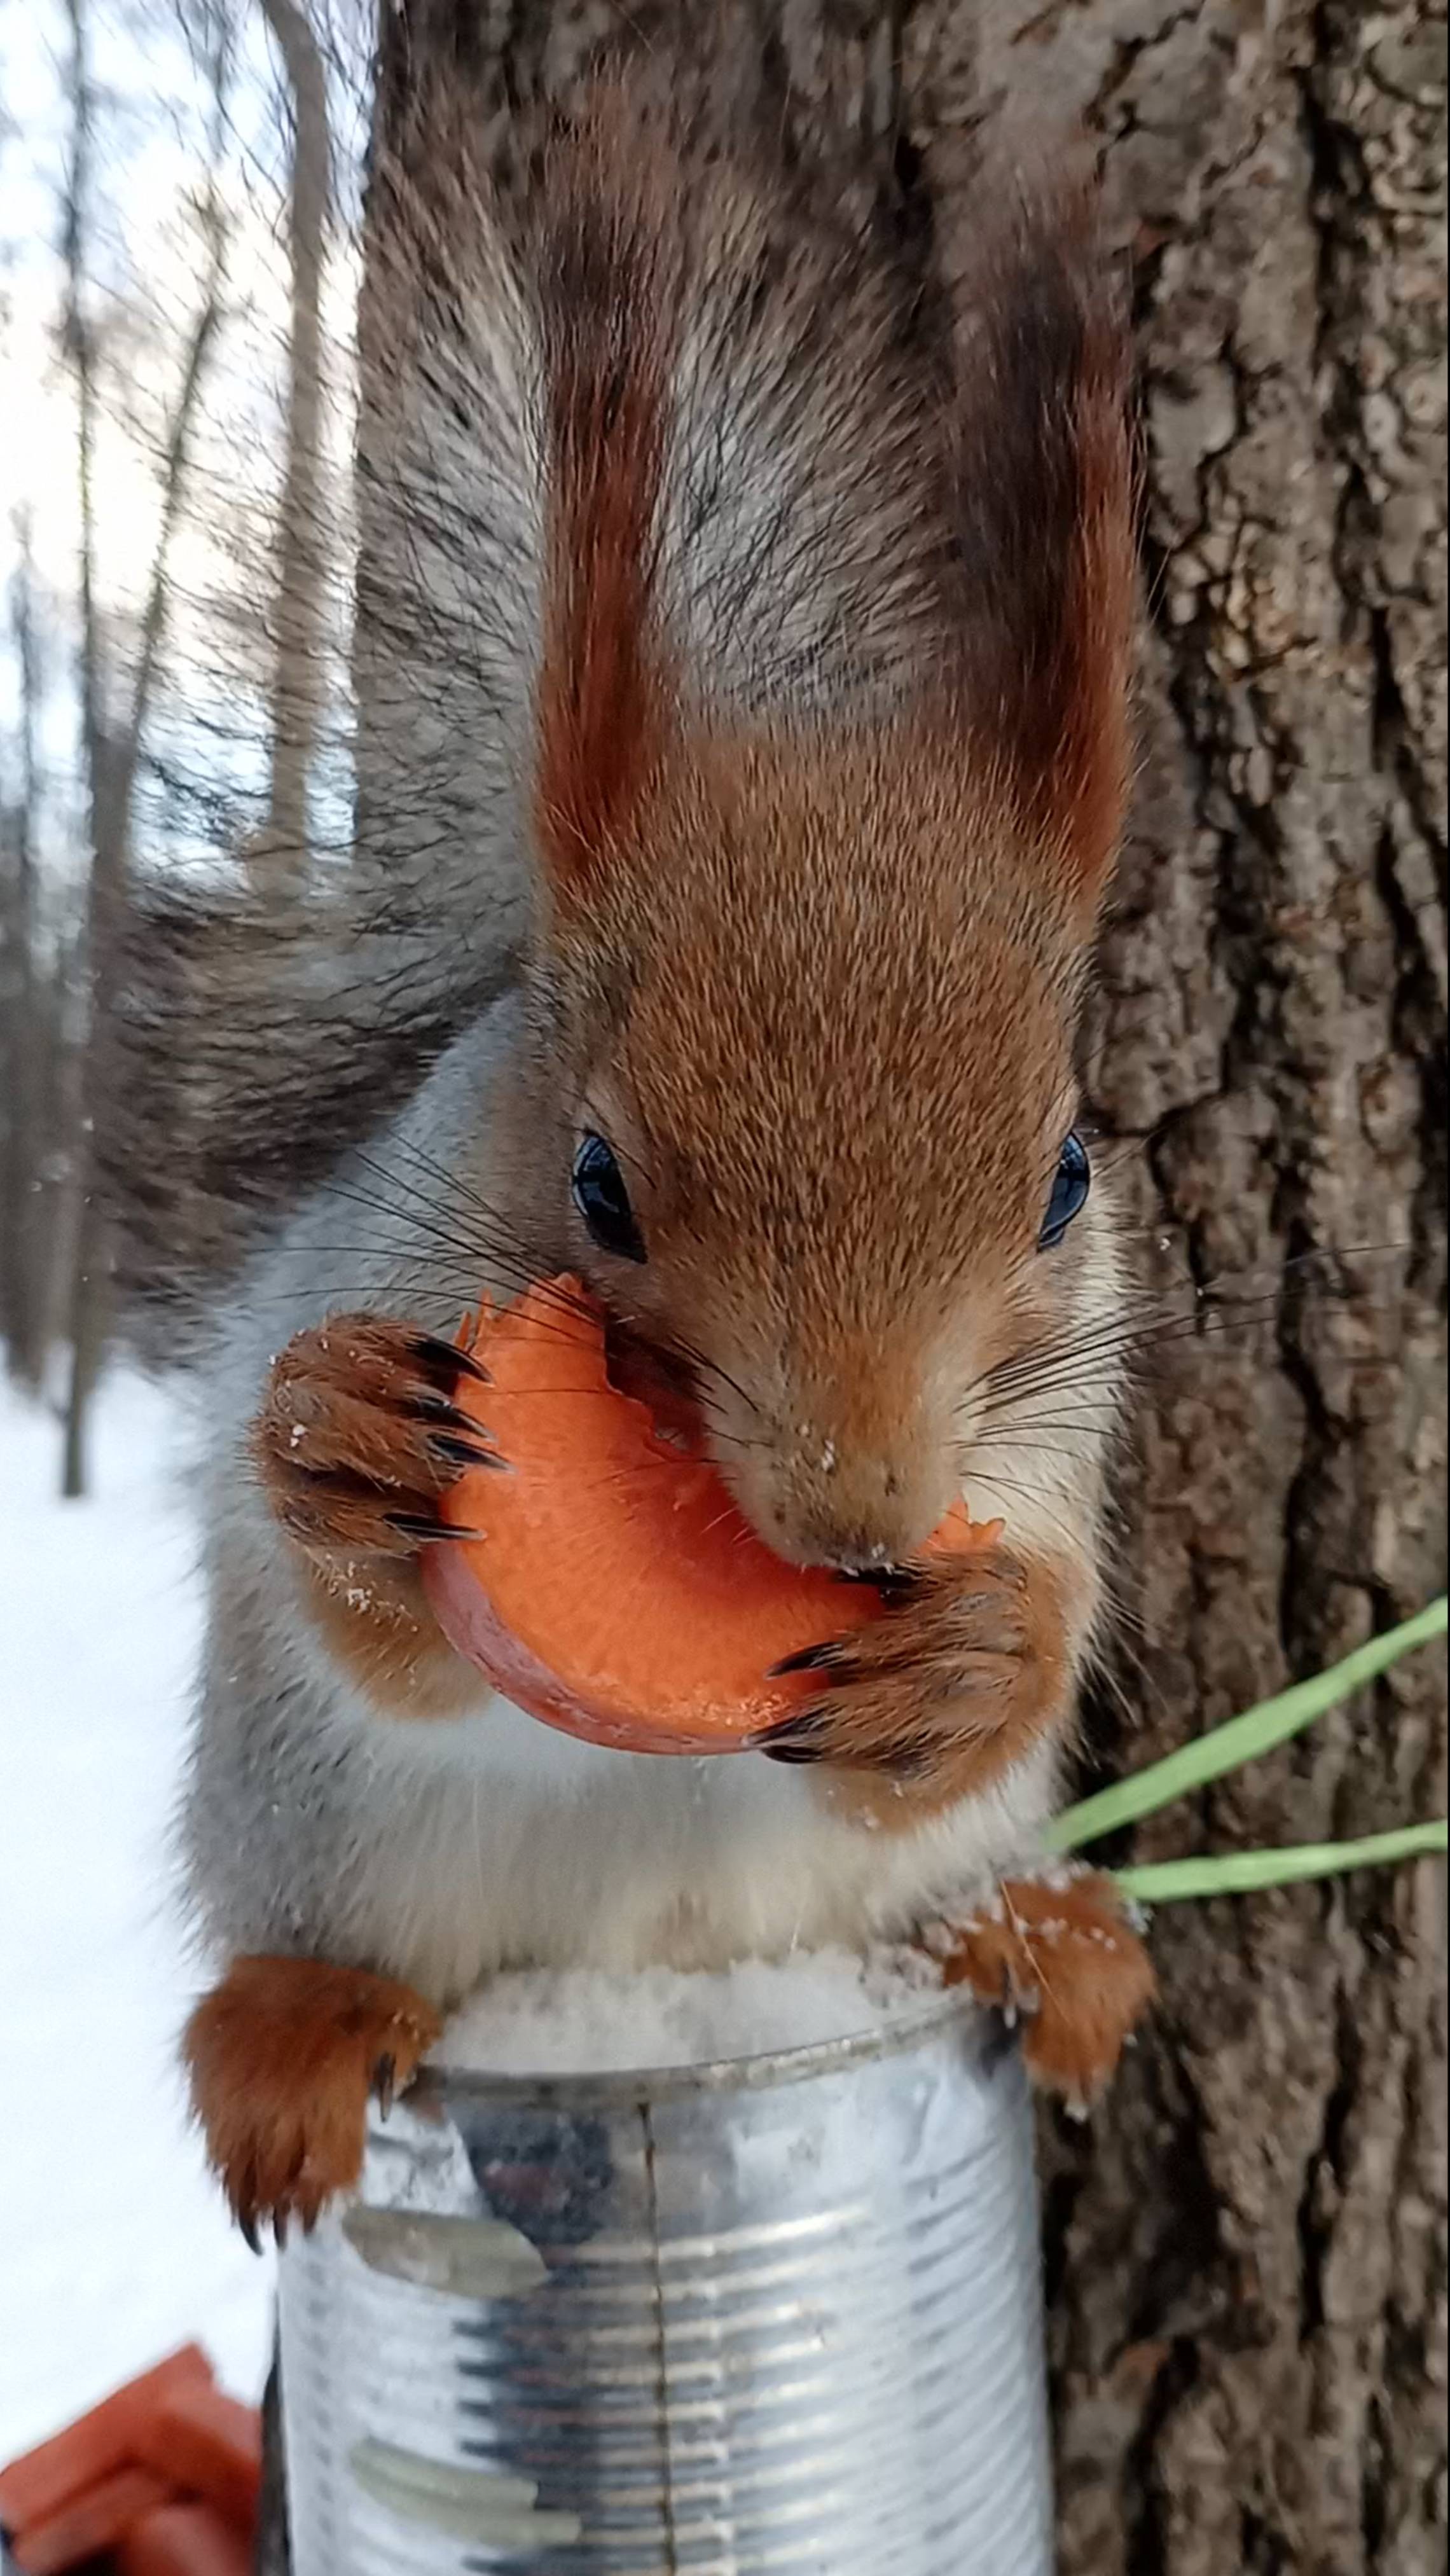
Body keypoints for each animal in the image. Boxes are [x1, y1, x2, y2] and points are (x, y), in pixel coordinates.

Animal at [179, 90, 1159, 2246]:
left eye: (1063, 1178)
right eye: (598, 1182)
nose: (861, 1523)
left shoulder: (1063, 1438)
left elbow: (1037, 1643)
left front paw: (975, 1654)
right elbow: (380, 1631)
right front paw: (344, 1444)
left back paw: (1048, 1940)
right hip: (309, 1824)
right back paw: (293, 2024)